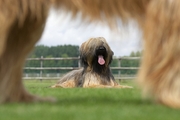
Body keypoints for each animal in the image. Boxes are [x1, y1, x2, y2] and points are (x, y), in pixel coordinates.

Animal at [0, 0, 180, 108]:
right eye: (94, 45)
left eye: (104, 44)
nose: (101, 49)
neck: (99, 70)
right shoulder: (91, 83)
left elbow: (119, 85)